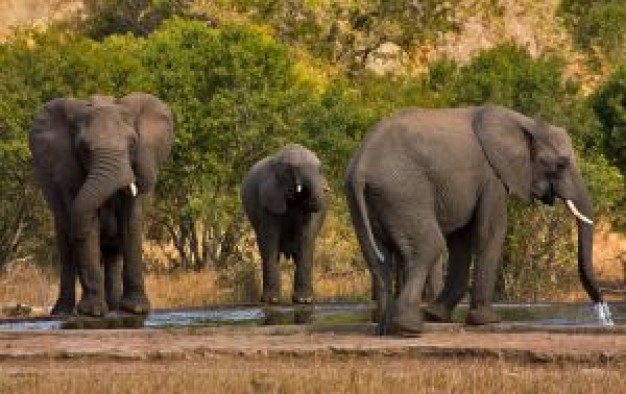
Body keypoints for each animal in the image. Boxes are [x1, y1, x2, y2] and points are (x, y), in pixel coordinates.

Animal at [29, 92, 173, 318]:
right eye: (84, 149)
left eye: (132, 145)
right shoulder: (68, 171)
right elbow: (88, 223)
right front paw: (92, 312)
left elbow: (131, 221)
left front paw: (136, 309)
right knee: (67, 253)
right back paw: (62, 313)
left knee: (113, 255)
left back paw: (115, 309)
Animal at [240, 143, 326, 304]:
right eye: (293, 168)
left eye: (320, 169)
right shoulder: (268, 198)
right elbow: (269, 240)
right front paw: (271, 301)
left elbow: (306, 239)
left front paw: (304, 300)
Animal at [344, 105, 608, 336]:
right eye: (561, 163)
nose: (602, 308)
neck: (526, 122)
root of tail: (361, 166)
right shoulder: (493, 176)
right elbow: (490, 232)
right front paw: (487, 321)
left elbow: (461, 239)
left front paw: (437, 316)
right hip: (404, 192)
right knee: (429, 246)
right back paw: (409, 329)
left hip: (368, 199)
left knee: (378, 258)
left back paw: (384, 329)